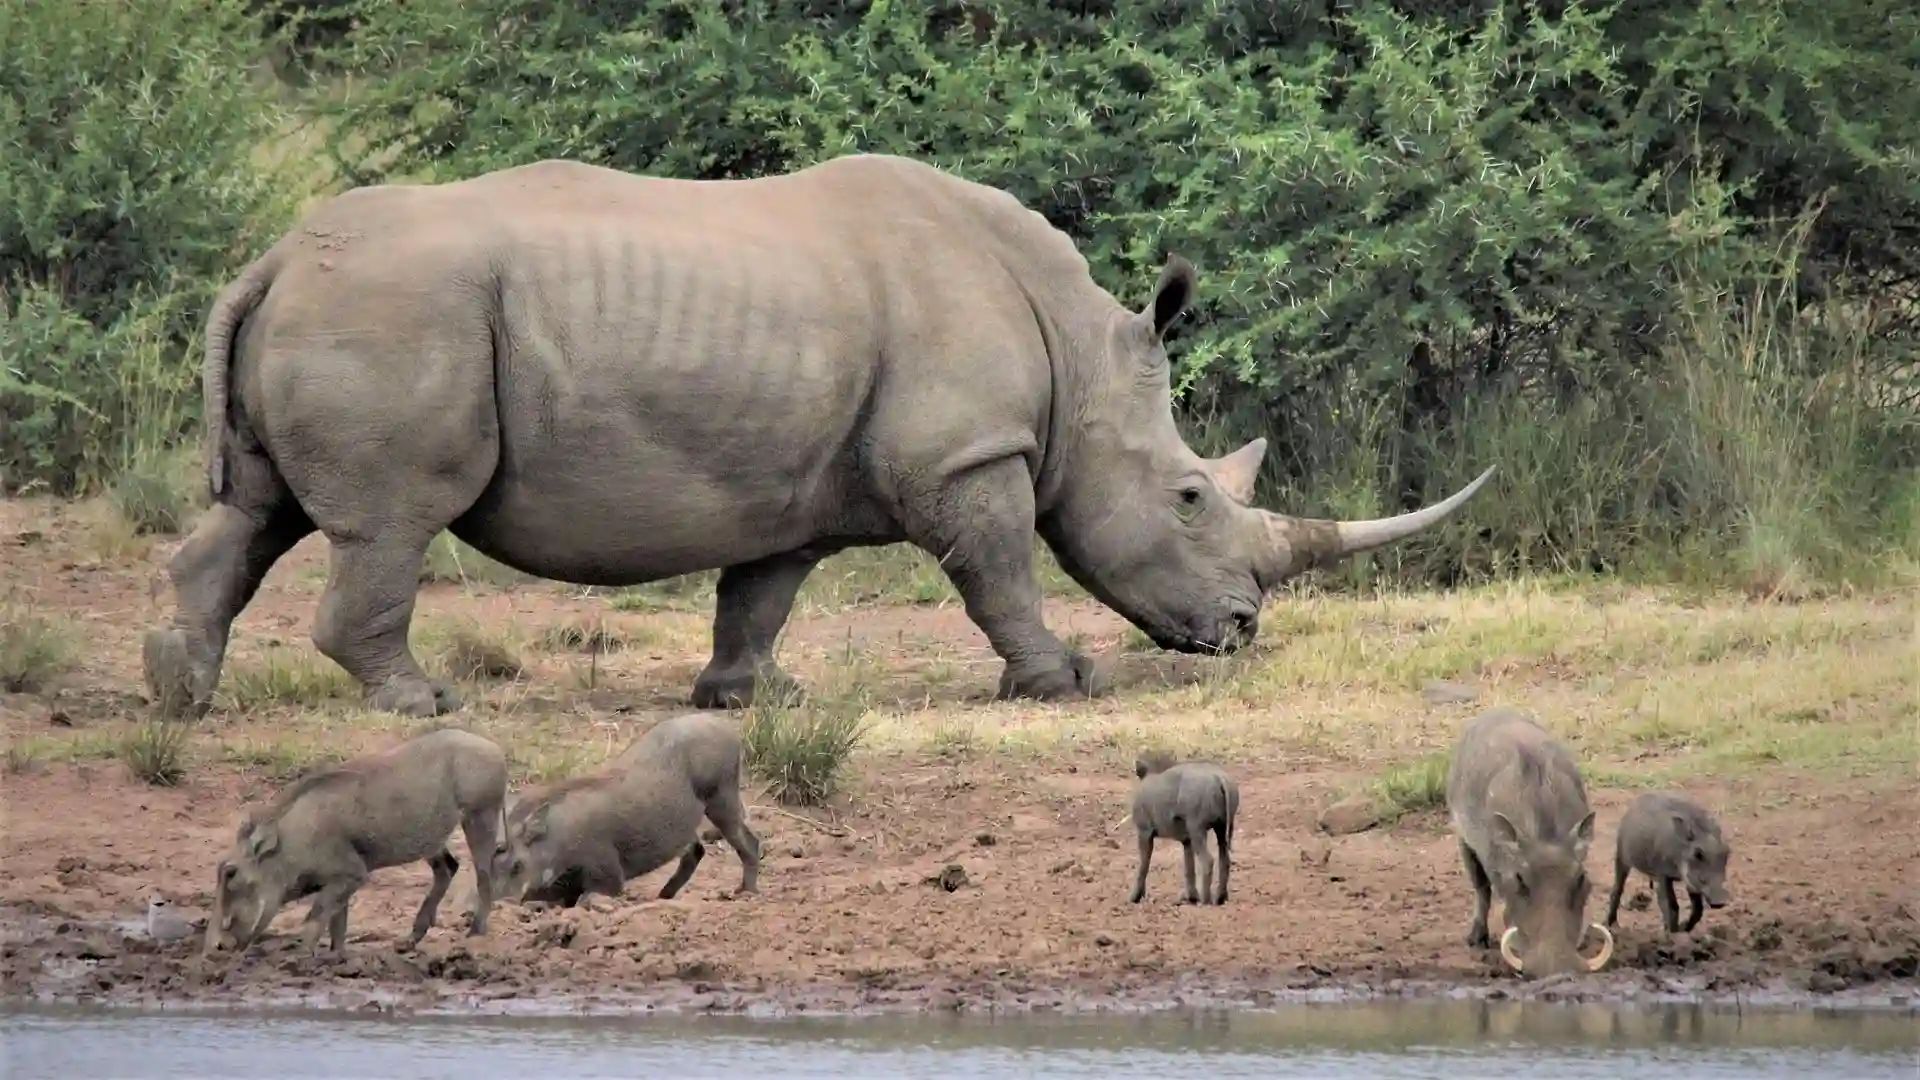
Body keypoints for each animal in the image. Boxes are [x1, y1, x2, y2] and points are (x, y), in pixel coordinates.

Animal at [141, 153, 1496, 719]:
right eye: (1190, 499)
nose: (1242, 632)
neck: (1078, 353)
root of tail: (269, 259)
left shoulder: (784, 482)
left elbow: (762, 592)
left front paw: (748, 699)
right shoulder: (967, 454)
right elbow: (1001, 570)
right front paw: (1060, 682)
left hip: (339, 309)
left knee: (255, 513)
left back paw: (180, 698)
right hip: (392, 315)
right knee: (389, 521)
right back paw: (418, 707)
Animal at [205, 727, 507, 956]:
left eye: (231, 873)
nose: (215, 947)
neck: (291, 845)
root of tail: (494, 746)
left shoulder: (351, 874)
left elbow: (315, 917)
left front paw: (300, 958)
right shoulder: (340, 882)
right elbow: (337, 924)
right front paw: (336, 958)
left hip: (481, 816)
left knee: (485, 875)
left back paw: (475, 934)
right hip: (431, 839)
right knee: (447, 868)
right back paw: (409, 941)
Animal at [1445, 707, 1614, 977]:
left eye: (1581, 879)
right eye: (1519, 879)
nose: (1560, 972)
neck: (1545, 834)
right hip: (1463, 840)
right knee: (1481, 888)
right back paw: (1477, 938)